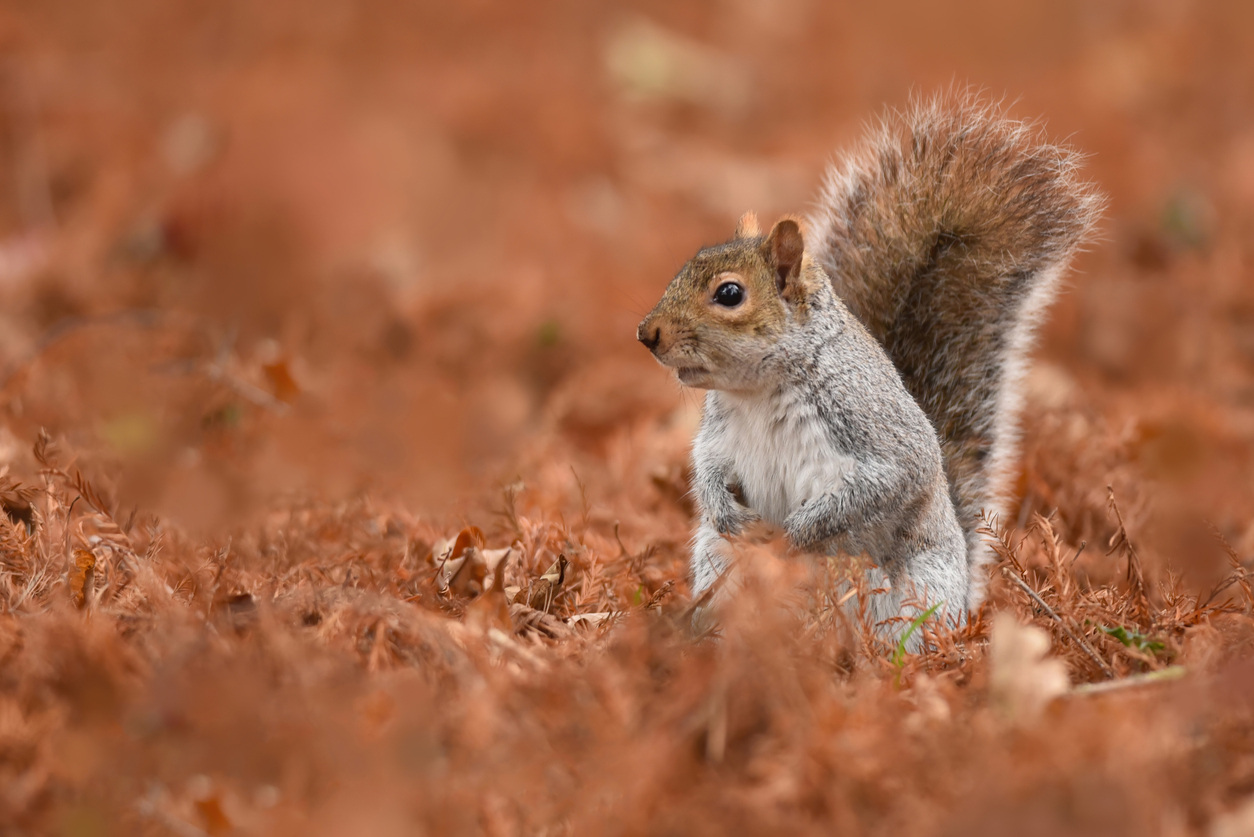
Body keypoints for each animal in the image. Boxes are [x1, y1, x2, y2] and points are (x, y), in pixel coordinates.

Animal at [642, 94, 1103, 647]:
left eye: (729, 293)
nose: (646, 333)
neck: (759, 391)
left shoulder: (868, 419)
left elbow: (887, 479)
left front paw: (796, 533)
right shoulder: (719, 430)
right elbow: (707, 467)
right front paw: (727, 512)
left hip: (909, 593)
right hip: (717, 561)